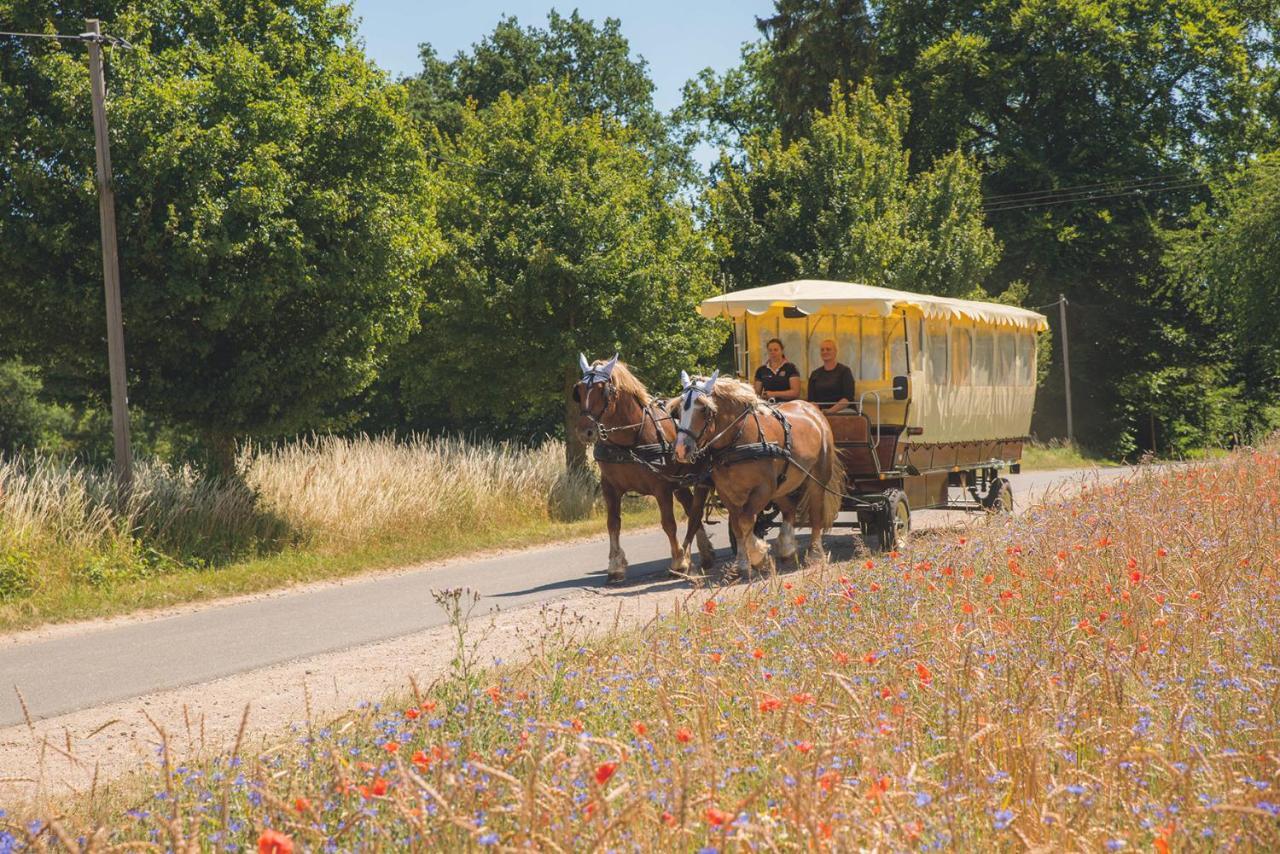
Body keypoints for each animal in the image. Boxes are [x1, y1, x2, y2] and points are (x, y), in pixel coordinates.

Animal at [576, 355, 716, 588]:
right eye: (578, 390)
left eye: (602, 390)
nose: (584, 431)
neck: (629, 440)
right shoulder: (609, 487)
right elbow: (613, 524)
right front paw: (615, 567)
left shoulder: (661, 487)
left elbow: (668, 524)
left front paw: (679, 563)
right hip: (679, 482)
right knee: (691, 508)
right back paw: (705, 553)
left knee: (694, 511)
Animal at [670, 371, 839, 578]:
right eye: (678, 410)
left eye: (704, 409)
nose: (680, 449)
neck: (737, 440)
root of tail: (813, 409)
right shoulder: (728, 493)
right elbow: (738, 525)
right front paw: (742, 562)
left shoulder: (763, 489)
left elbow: (745, 521)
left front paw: (758, 555)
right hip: (781, 485)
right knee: (789, 509)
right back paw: (787, 547)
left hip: (816, 478)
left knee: (815, 514)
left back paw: (814, 553)